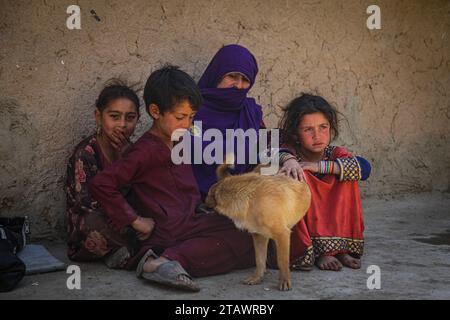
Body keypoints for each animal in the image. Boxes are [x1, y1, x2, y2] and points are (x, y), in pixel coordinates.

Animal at [206, 162, 312, 290]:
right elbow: (259, 260)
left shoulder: (282, 235)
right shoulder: (259, 236)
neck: (250, 199)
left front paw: (284, 281)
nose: (199, 207)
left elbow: (282, 261)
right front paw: (257, 277)